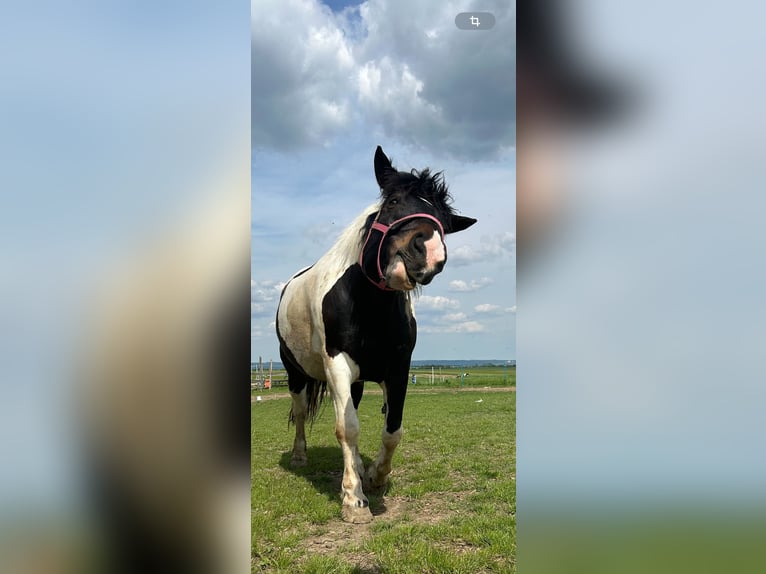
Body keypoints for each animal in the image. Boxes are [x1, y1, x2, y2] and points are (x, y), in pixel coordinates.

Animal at [276, 146, 480, 524]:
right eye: (394, 201)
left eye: (443, 223)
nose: (429, 253)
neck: (368, 305)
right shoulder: (337, 364)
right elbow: (347, 428)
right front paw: (354, 500)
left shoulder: (398, 367)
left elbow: (391, 430)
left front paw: (374, 477)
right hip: (296, 374)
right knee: (301, 412)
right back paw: (299, 457)